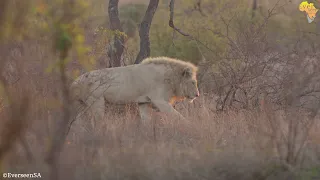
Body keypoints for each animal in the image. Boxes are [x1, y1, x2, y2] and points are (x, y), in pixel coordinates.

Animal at [69, 56, 199, 124]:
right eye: (193, 82)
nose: (197, 95)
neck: (171, 78)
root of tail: (76, 82)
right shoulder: (159, 100)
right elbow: (177, 116)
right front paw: (190, 126)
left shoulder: (143, 102)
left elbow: (146, 120)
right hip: (97, 102)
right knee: (97, 121)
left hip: (80, 105)